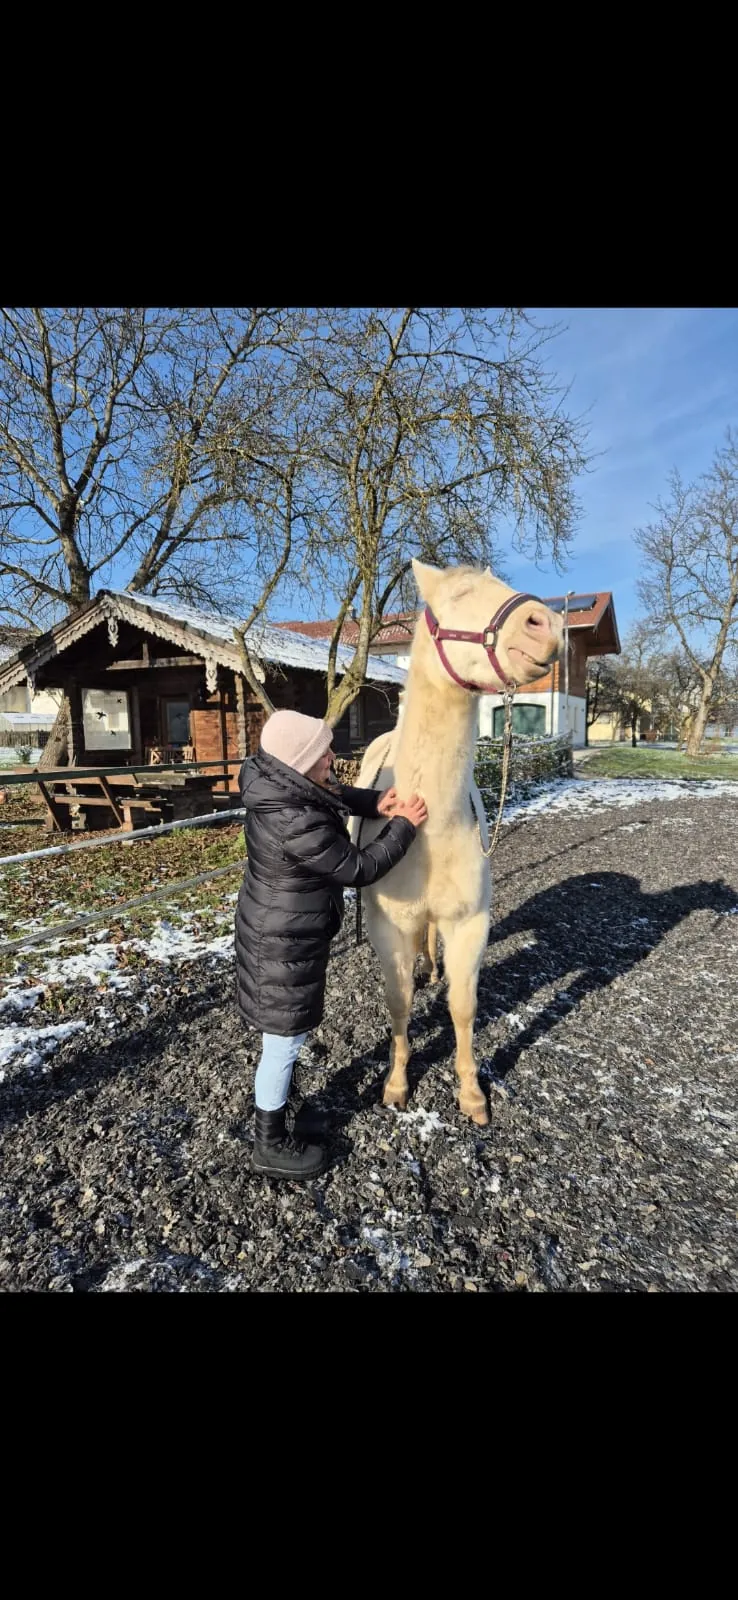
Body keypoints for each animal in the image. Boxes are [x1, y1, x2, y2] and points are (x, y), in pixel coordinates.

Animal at [351, 558, 563, 1126]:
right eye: (462, 593)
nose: (548, 626)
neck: (430, 826)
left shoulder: (470, 923)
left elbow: (463, 1007)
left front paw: (471, 1094)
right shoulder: (388, 927)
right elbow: (399, 1003)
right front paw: (397, 1084)